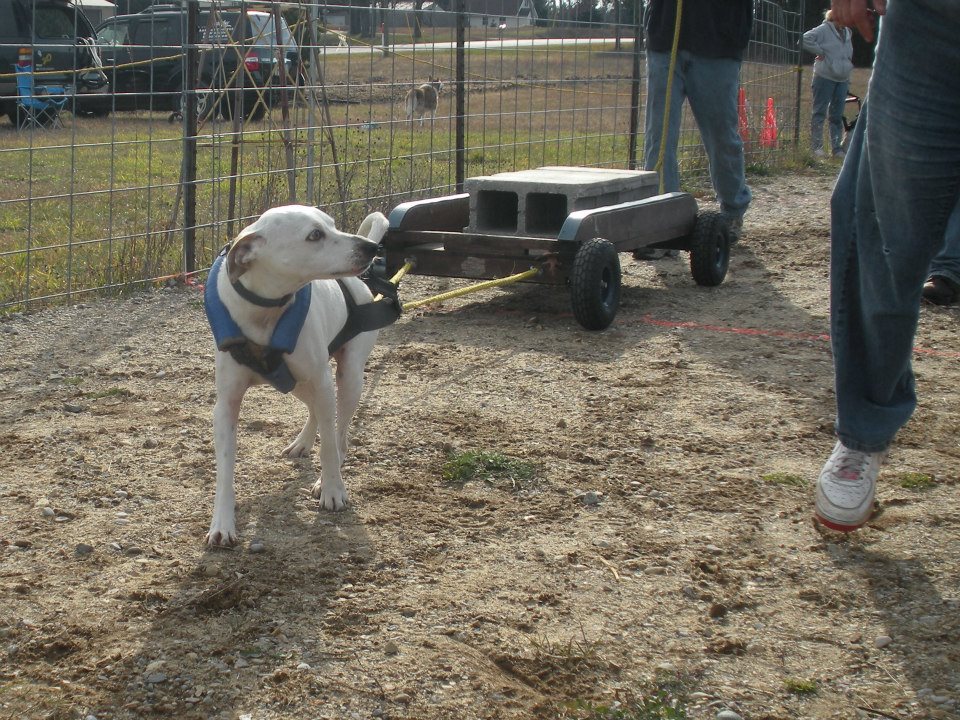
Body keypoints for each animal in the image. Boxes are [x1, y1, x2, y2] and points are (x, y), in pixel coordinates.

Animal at [204, 204, 392, 544]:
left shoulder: (323, 381)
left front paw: (332, 489)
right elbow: (224, 467)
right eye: (315, 235)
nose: (371, 248)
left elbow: (329, 445)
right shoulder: (226, 405)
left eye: (333, 224)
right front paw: (222, 523)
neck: (265, 313)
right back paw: (302, 443)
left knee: (339, 433)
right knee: (316, 411)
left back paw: (329, 470)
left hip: (348, 379)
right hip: (296, 384)